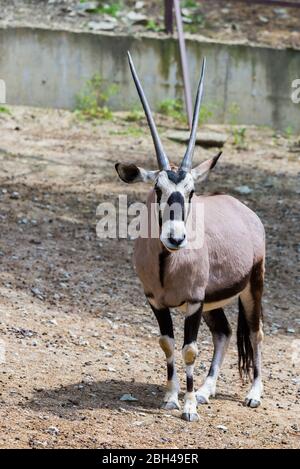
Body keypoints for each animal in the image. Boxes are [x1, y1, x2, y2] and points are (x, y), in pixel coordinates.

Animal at [115, 53, 264, 422]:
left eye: (191, 191)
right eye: (157, 189)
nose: (176, 238)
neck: (166, 263)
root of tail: (243, 210)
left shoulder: (193, 302)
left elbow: (190, 350)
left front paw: (190, 406)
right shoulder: (156, 301)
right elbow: (168, 344)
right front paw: (171, 397)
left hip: (252, 286)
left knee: (255, 332)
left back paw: (253, 394)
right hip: (214, 300)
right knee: (224, 332)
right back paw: (209, 389)